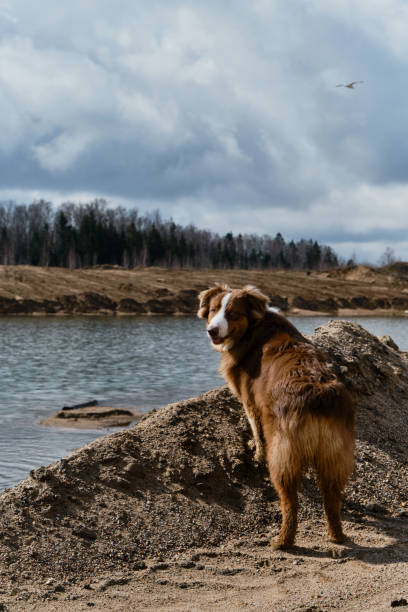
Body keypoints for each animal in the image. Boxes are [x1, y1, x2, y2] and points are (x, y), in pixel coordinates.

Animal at [198, 286, 354, 548]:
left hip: (284, 451)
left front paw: (256, 453)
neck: (253, 328)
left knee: (290, 501)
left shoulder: (249, 400)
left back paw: (283, 540)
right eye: (213, 310)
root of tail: (318, 394)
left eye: (232, 313)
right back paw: (337, 536)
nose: (212, 330)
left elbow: (256, 429)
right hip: (334, 453)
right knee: (332, 498)